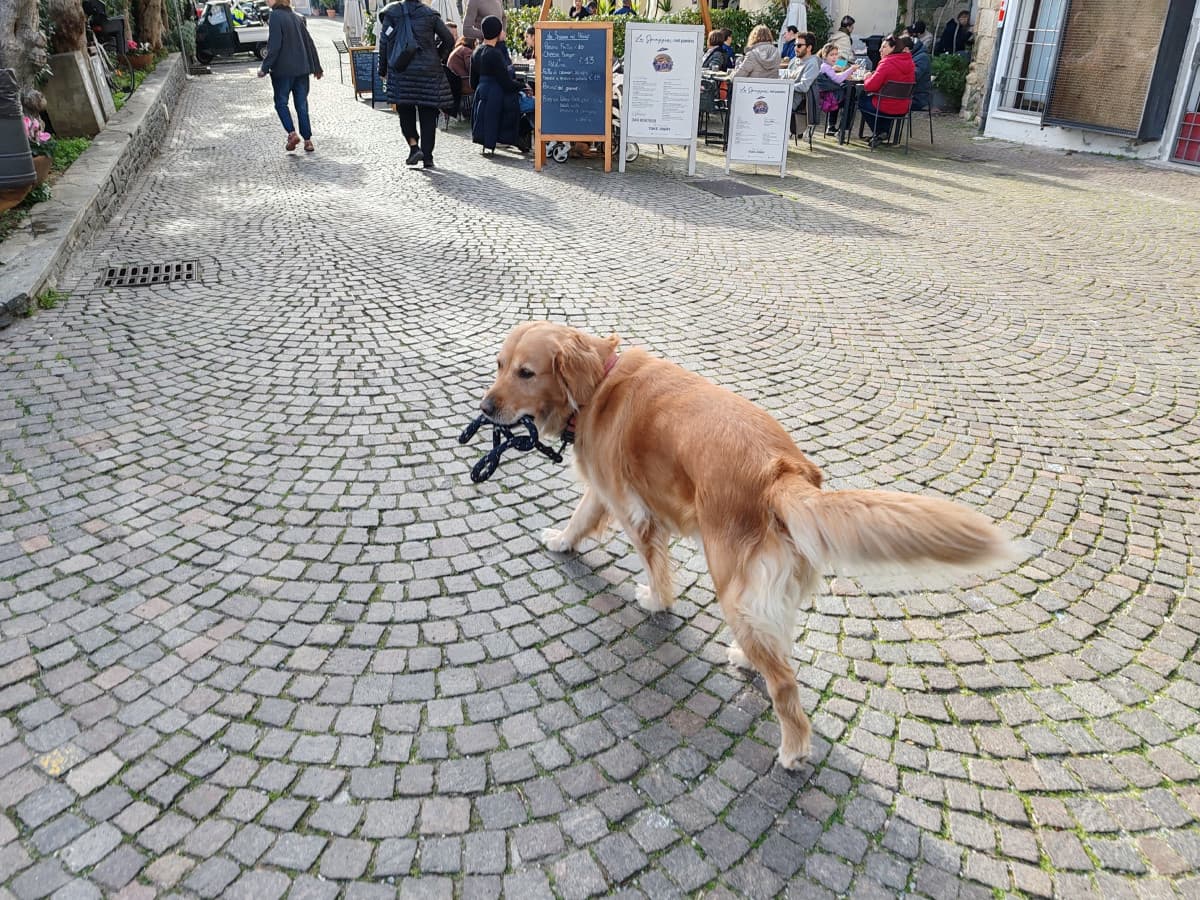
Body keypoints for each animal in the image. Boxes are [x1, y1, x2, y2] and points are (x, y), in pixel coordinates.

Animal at [480, 321, 1012, 768]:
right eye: (499, 364)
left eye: (526, 372)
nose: (485, 408)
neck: (598, 384)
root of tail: (783, 472)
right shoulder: (607, 492)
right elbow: (582, 517)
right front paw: (563, 541)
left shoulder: (631, 507)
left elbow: (646, 559)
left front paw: (653, 599)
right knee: (776, 641)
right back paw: (747, 659)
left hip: (731, 585)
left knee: (785, 684)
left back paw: (793, 749)